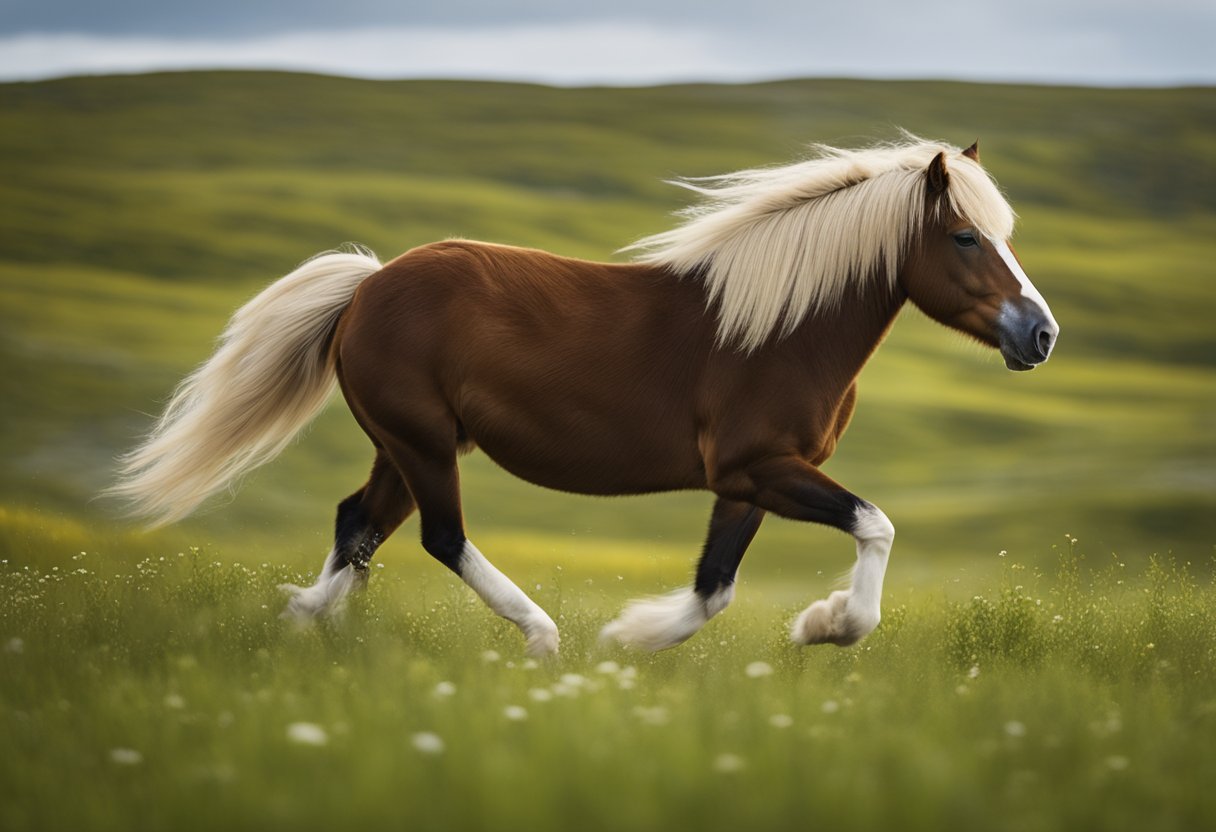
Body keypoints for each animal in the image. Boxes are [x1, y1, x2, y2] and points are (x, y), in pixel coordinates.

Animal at [111, 138, 1055, 656]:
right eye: (964, 237)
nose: (1040, 335)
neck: (781, 328)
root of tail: (367, 286)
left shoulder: (747, 480)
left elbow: (714, 586)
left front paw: (633, 638)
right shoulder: (759, 466)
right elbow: (873, 524)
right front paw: (827, 626)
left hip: (405, 445)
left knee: (358, 525)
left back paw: (302, 625)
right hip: (423, 443)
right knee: (440, 537)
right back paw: (540, 636)